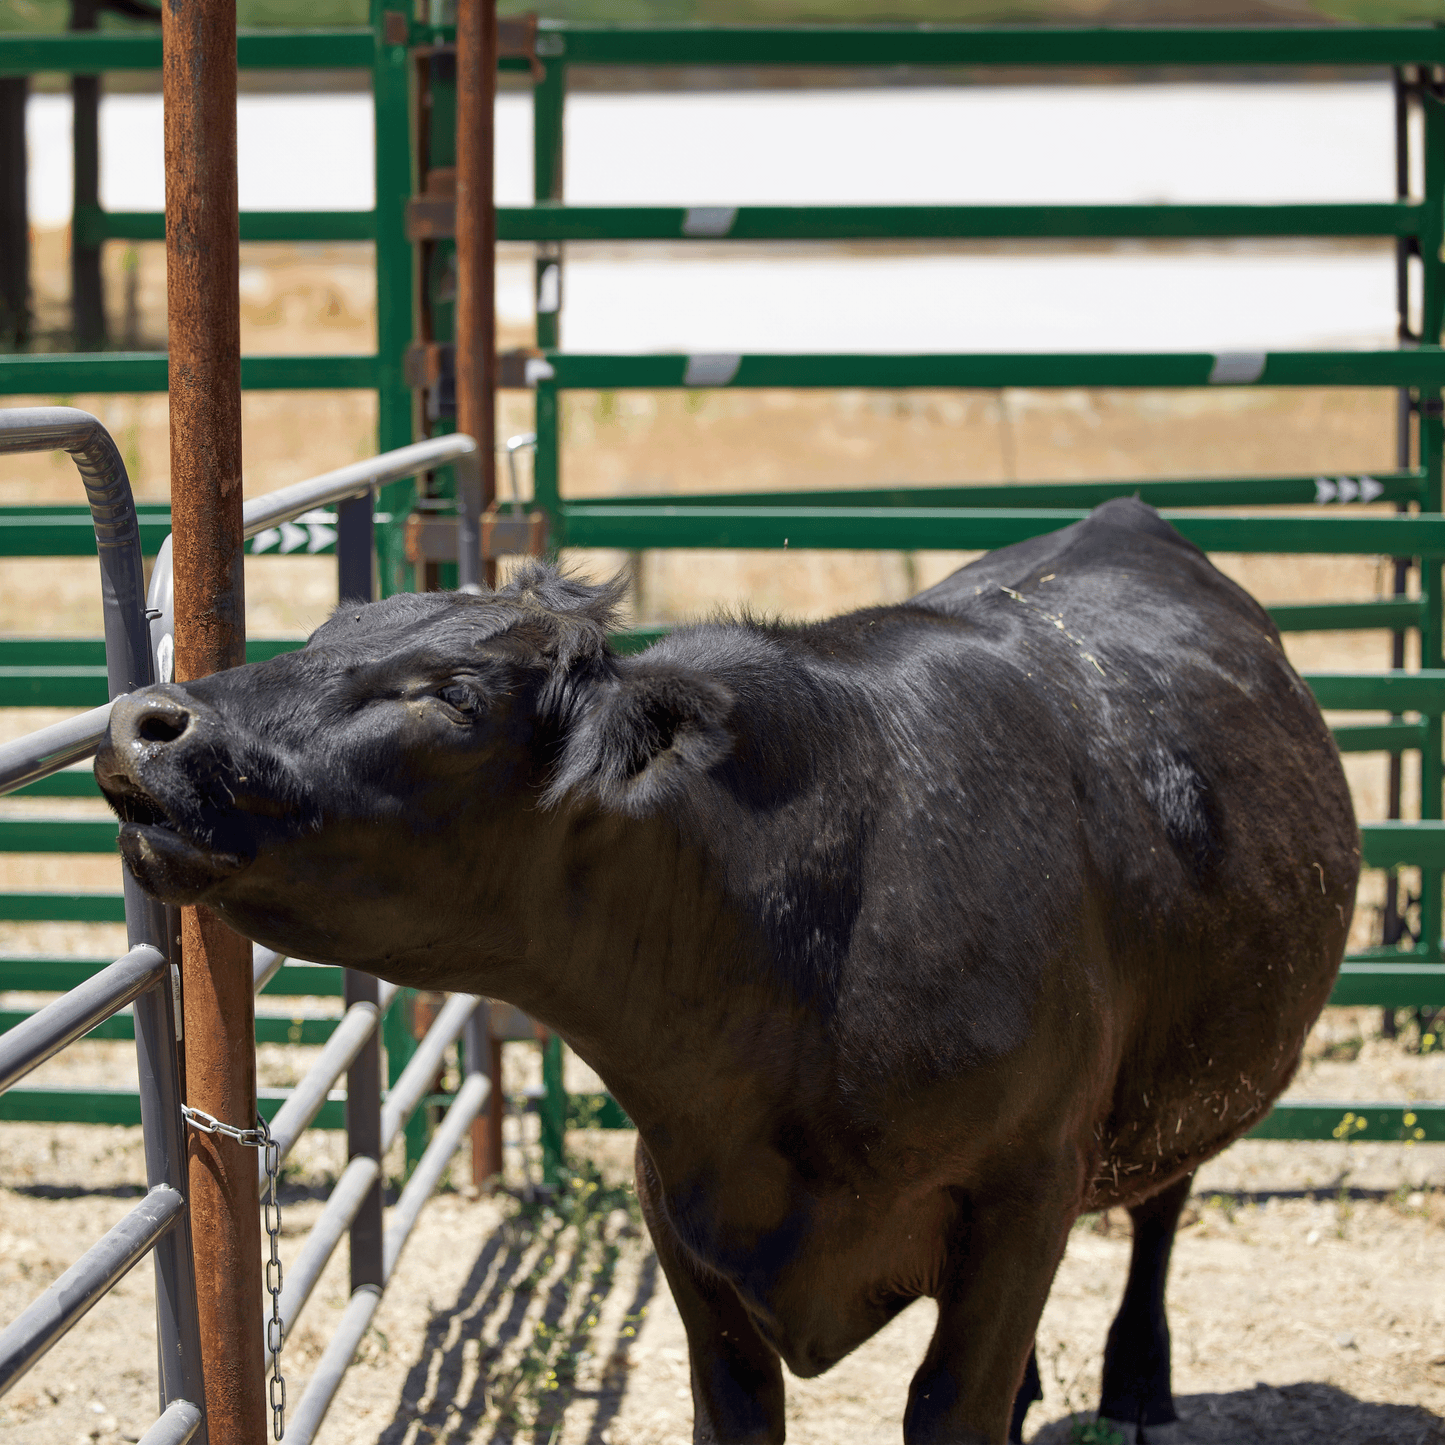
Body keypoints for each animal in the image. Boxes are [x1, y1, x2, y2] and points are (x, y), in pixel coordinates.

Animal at [98, 499, 1352, 1445]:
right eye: (325, 633)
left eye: (449, 696)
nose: (149, 718)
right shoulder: (682, 1211)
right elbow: (741, 1409)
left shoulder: (1023, 1189)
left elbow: (951, 1402)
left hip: (1178, 1081)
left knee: (1159, 1209)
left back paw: (1135, 1385)